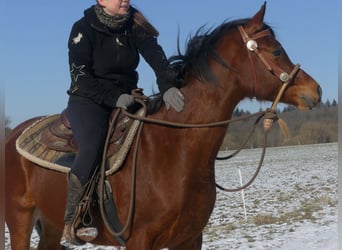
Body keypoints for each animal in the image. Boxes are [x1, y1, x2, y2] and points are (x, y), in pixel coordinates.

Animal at [4, 3, 320, 250]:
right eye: (276, 51)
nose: (314, 90)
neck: (175, 149)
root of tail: (13, 136)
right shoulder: (139, 241)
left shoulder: (189, 239)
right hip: (19, 219)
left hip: (50, 224)